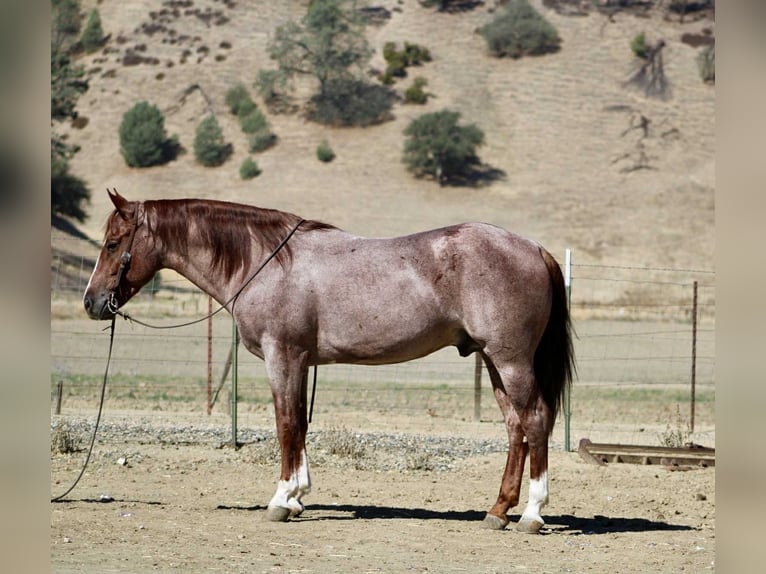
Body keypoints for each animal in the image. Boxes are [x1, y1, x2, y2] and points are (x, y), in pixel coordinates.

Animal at [83, 190, 574, 533]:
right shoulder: (301, 362)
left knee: (534, 421)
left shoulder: (283, 356)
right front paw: (298, 496)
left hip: (510, 361)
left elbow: (285, 423)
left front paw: (281, 500)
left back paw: (532, 514)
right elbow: (299, 423)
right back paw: (498, 510)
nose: (91, 302)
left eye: (112, 244)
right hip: (494, 361)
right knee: (514, 428)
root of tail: (534, 248)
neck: (266, 262)